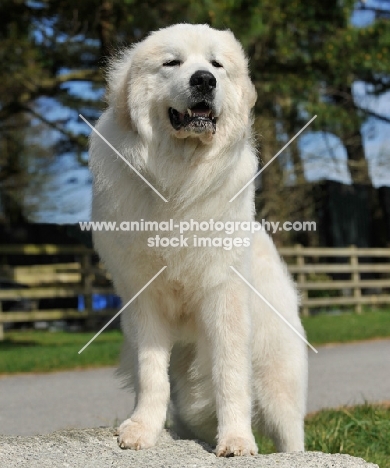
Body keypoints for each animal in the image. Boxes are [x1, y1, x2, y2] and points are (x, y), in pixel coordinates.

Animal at [89, 22, 308, 458]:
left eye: (216, 64)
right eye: (172, 63)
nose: (204, 80)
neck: (178, 178)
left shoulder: (224, 297)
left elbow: (230, 374)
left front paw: (237, 440)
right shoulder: (144, 298)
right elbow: (151, 373)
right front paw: (142, 429)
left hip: (279, 383)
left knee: (290, 432)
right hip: (192, 400)